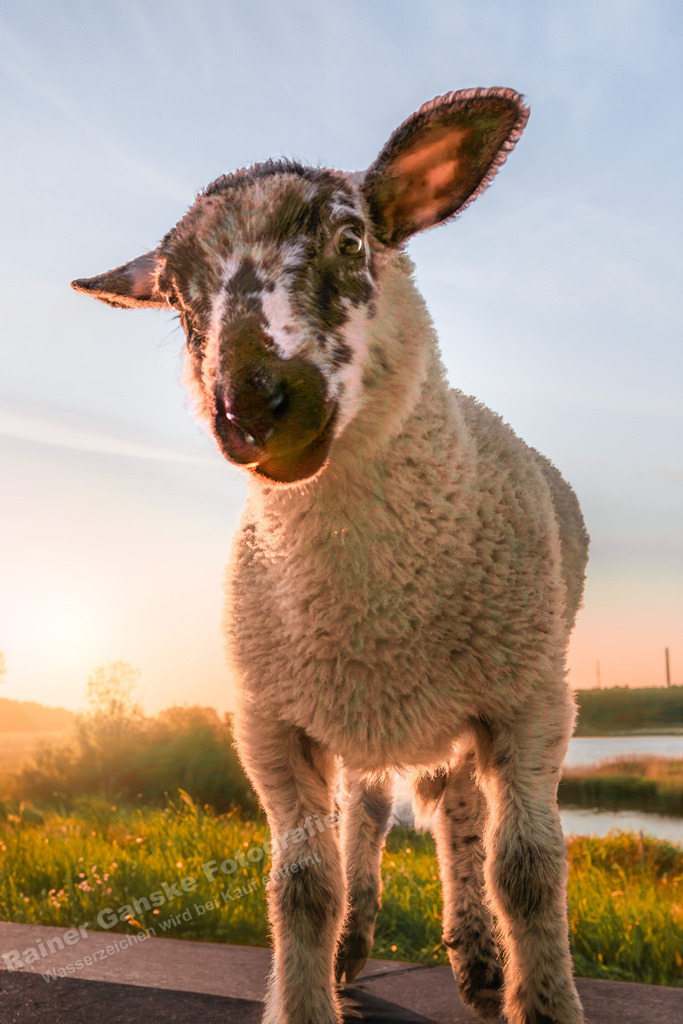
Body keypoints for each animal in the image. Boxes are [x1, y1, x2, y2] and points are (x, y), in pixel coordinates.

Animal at [72, 87, 589, 1024]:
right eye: (178, 301)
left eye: (351, 241)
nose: (252, 406)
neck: (374, 605)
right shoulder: (271, 721)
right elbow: (302, 885)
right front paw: (309, 990)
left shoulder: (531, 702)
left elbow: (528, 873)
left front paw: (541, 997)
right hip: (356, 719)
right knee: (370, 816)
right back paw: (356, 948)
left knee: (457, 817)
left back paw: (477, 958)